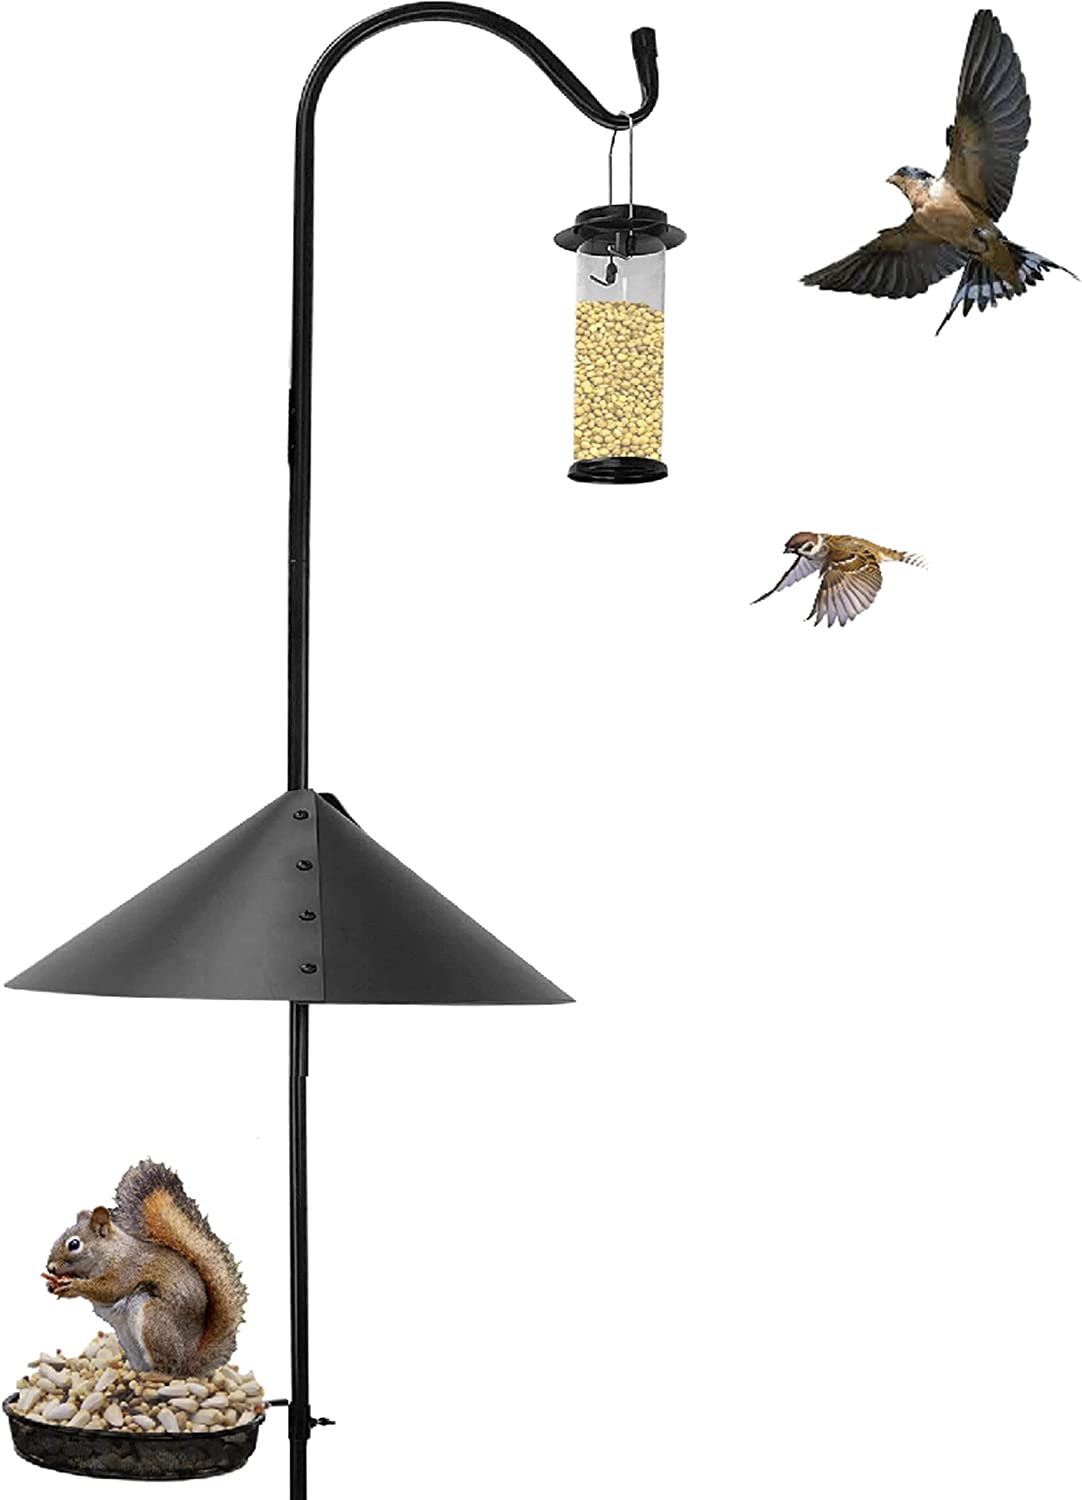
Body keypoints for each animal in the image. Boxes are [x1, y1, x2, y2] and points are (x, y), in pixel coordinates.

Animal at [44, 1160, 247, 1377]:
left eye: (74, 1244)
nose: (50, 1267)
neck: (111, 1251)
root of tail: (189, 1363)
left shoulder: (126, 1270)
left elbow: (108, 1290)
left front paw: (73, 1286)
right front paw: (52, 1286)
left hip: (153, 1319)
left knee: (167, 1367)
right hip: (128, 1338)